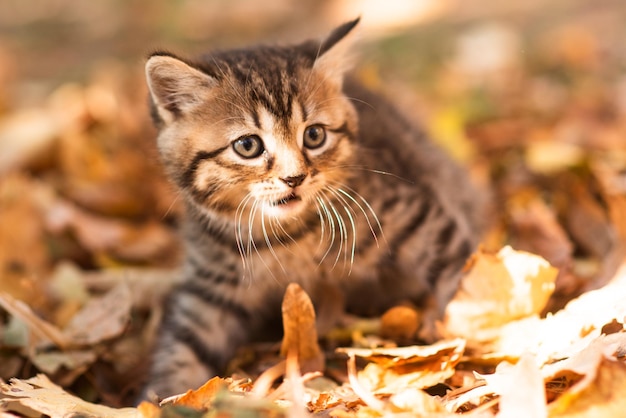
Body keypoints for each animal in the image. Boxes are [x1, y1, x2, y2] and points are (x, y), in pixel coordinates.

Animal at [143, 19, 482, 398]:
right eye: (248, 145)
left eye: (315, 135)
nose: (294, 178)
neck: (287, 238)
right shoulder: (212, 285)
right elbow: (184, 345)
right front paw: (164, 397)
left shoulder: (420, 217)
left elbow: (462, 273)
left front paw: (464, 331)